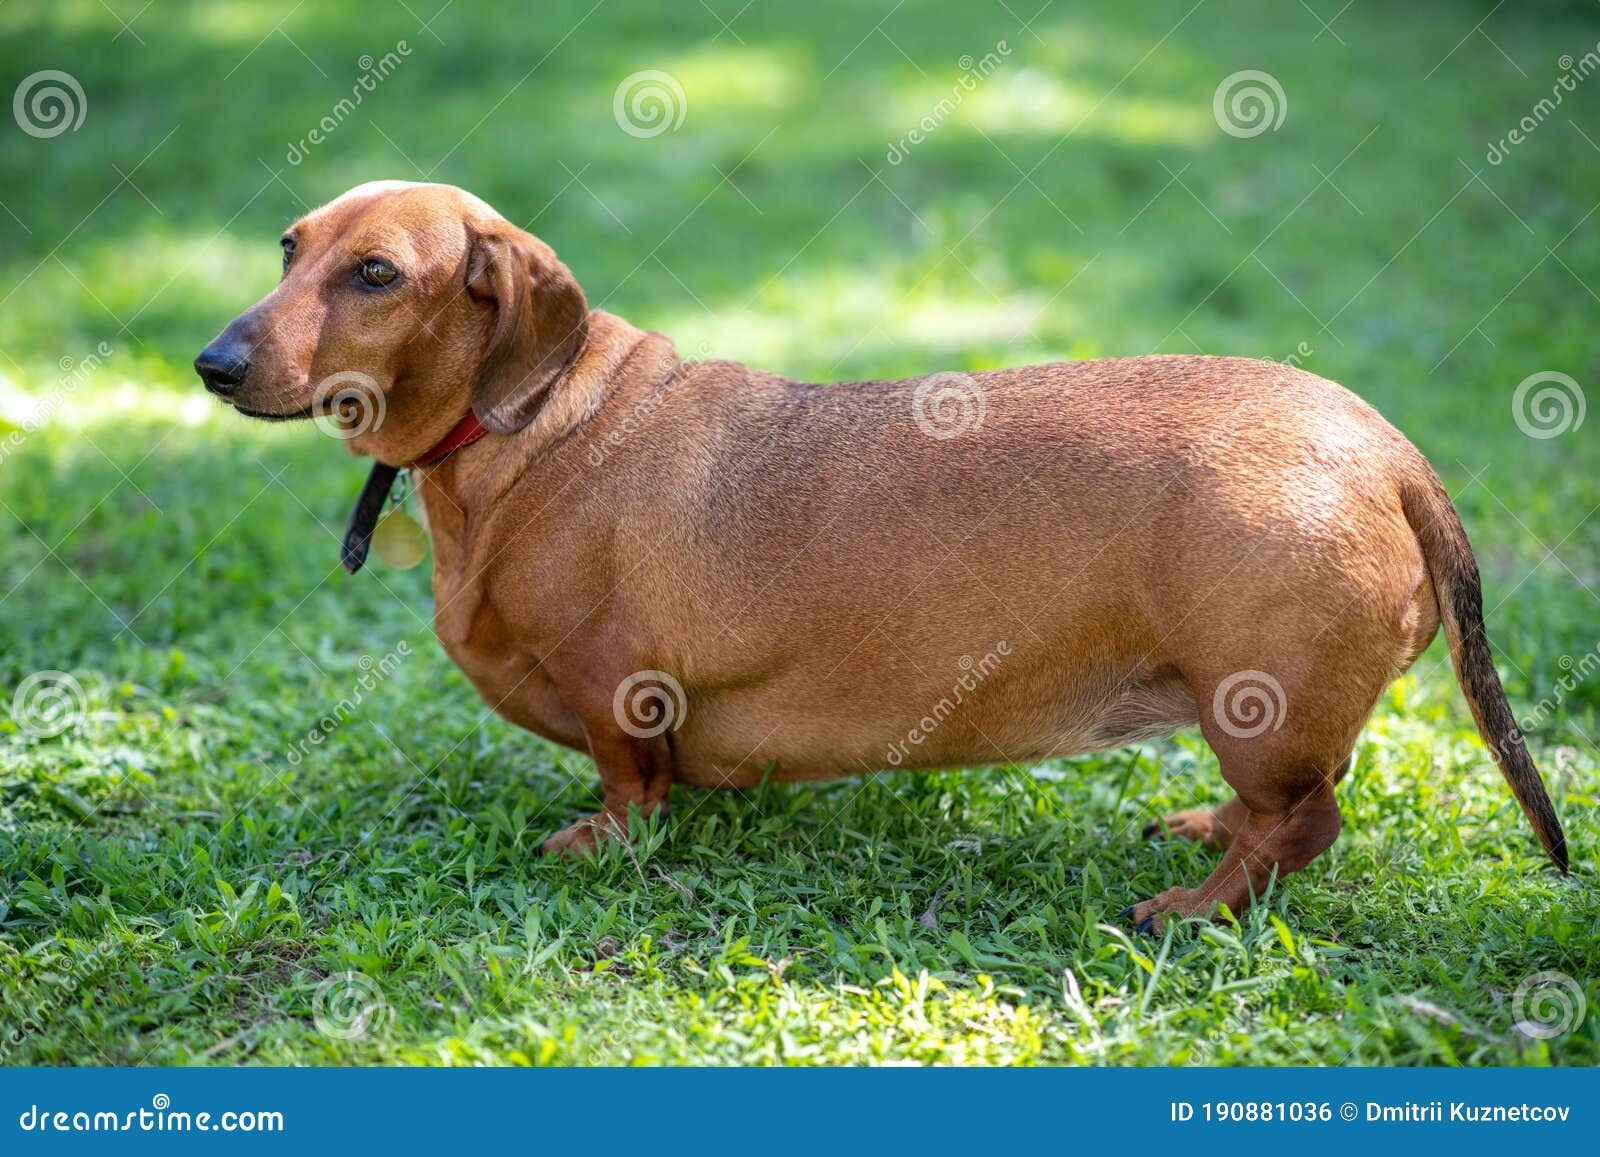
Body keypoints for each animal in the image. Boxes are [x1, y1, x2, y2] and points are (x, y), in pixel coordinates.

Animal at [190, 180, 1561, 928]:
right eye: (289, 246)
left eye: (377, 272)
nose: (211, 363)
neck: (528, 430)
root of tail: (1385, 446)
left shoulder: (616, 686)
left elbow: (631, 786)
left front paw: (603, 842)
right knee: (1285, 807)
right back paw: (1203, 831)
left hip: (1256, 701)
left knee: (1307, 821)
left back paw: (1190, 908)